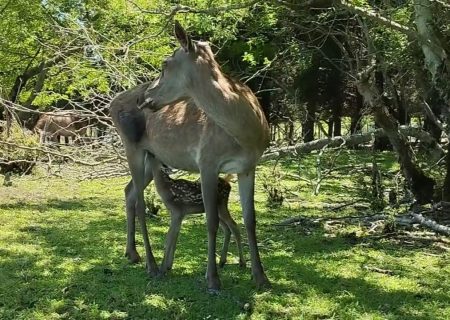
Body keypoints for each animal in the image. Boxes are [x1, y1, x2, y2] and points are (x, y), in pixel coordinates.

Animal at [110, 21, 268, 292]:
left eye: (165, 63)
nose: (143, 98)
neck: (246, 133)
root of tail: (110, 105)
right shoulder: (207, 161)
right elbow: (211, 220)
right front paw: (212, 279)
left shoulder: (248, 166)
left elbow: (251, 219)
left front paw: (261, 277)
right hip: (131, 145)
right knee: (140, 202)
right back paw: (152, 265)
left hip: (151, 155)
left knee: (128, 190)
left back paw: (132, 254)